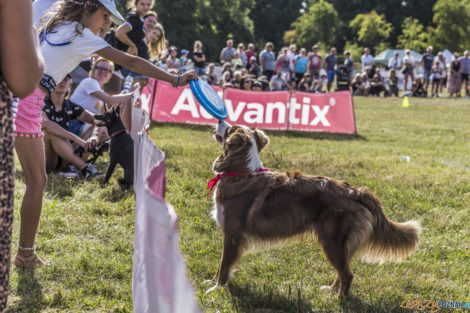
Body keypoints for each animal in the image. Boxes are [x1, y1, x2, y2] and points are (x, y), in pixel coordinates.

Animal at [207, 119, 420, 294]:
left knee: (347, 274)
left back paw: (339, 300)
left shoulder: (233, 234)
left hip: (333, 240)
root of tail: (356, 192)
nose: (219, 119)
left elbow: (224, 264)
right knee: (343, 271)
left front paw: (217, 288)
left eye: (230, 129)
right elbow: (222, 264)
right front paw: (213, 282)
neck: (241, 172)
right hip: (341, 244)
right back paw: (331, 290)